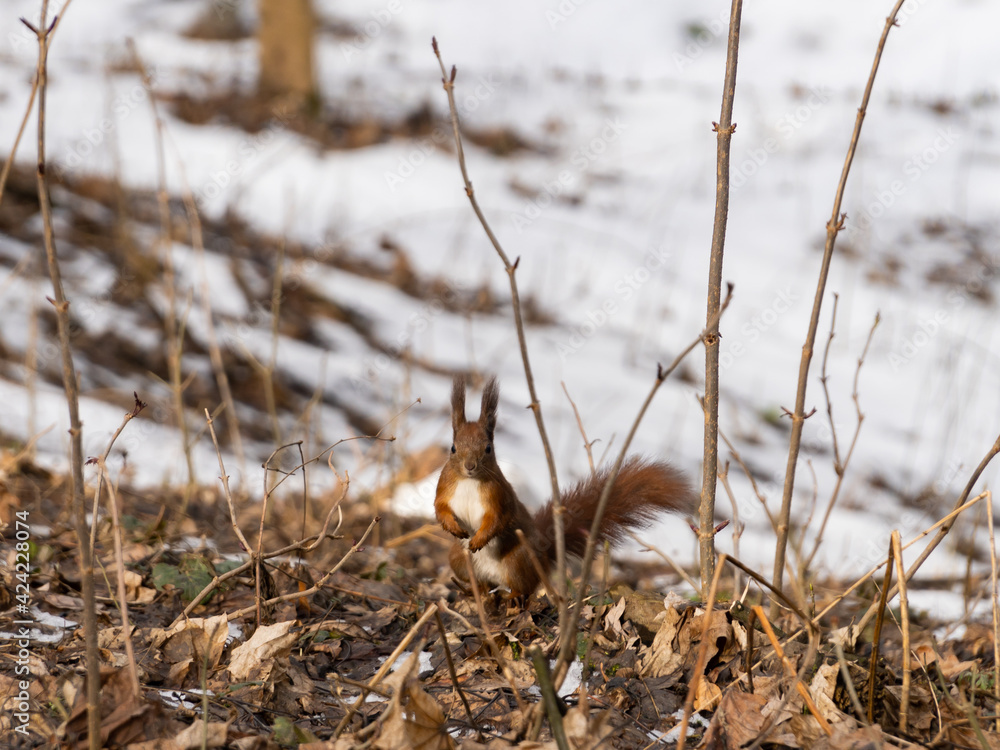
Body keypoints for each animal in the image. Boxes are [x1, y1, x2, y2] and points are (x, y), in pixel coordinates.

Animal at [434, 375, 696, 599]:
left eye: (488, 448)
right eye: (453, 448)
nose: (469, 466)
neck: (469, 481)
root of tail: (543, 553)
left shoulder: (499, 496)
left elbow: (497, 519)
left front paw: (478, 540)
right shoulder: (445, 488)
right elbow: (440, 508)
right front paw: (453, 527)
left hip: (518, 559)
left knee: (524, 586)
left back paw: (513, 596)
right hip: (458, 559)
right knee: (480, 581)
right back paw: (473, 589)